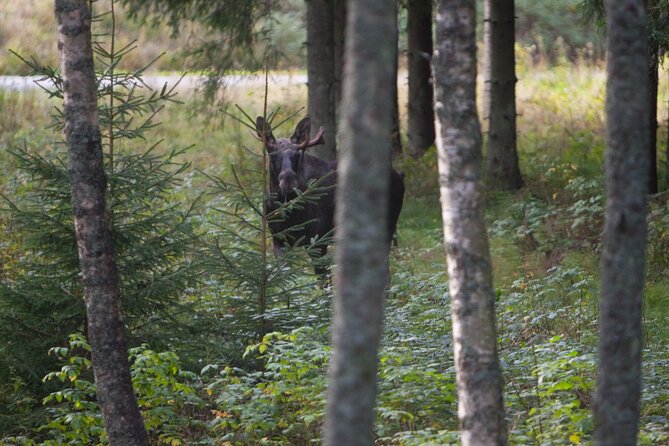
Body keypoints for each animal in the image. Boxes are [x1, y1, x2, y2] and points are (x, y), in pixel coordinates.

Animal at [254, 116, 402, 276]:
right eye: (273, 154)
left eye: (298, 154)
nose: (288, 180)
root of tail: (398, 176)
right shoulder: (278, 239)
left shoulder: (318, 241)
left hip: (387, 227)